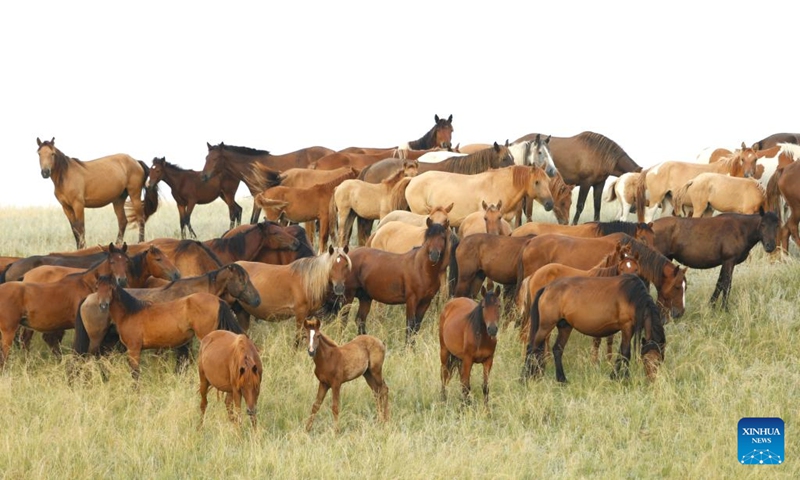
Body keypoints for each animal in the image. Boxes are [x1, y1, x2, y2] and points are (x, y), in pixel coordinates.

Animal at [88, 275, 244, 379]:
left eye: (111, 288)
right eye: (97, 288)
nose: (103, 305)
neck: (130, 313)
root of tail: (217, 300)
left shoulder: (134, 350)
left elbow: (135, 374)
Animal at [201, 142, 335, 223]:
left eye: (215, 158)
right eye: (206, 158)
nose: (203, 176)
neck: (253, 168)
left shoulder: (259, 198)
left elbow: (253, 220)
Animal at [523, 274, 666, 383]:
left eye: (659, 361)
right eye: (646, 360)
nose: (651, 380)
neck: (634, 297)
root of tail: (546, 288)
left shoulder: (628, 330)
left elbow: (620, 352)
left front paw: (614, 376)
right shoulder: (627, 327)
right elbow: (625, 353)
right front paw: (624, 379)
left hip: (565, 327)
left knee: (557, 349)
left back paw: (562, 379)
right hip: (545, 326)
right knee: (532, 347)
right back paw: (524, 377)